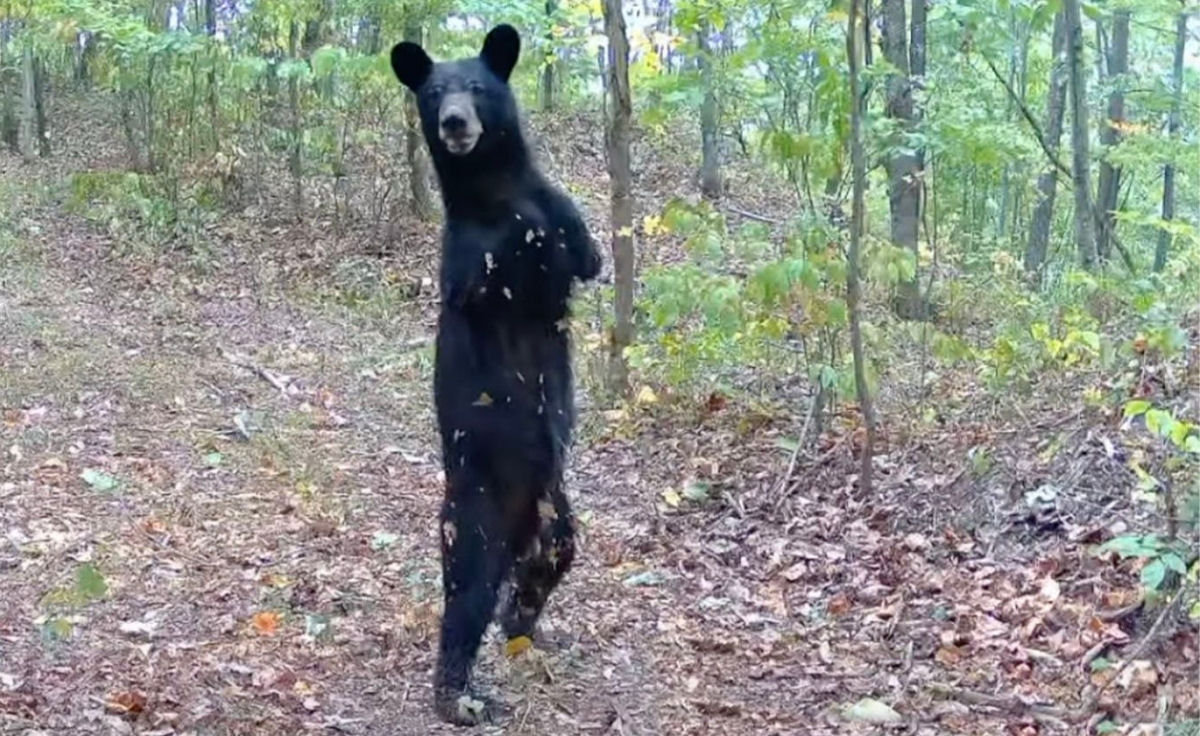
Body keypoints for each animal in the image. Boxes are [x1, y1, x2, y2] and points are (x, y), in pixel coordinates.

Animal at [391, 24, 600, 729]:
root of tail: (518, 526)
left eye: (478, 87)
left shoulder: (563, 216)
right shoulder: (465, 258)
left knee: (548, 564)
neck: (495, 186)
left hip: (557, 515)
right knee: (466, 599)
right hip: (473, 517)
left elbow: (584, 252)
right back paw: (458, 695)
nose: (456, 122)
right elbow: (489, 271)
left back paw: (524, 625)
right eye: (434, 93)